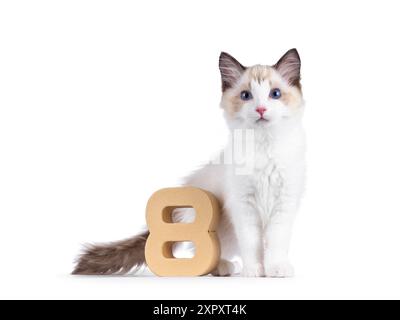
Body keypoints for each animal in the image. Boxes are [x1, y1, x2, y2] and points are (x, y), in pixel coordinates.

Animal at [73, 49, 304, 278]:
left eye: (275, 94)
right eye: (246, 96)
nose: (261, 109)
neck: (264, 145)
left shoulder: (284, 204)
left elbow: (276, 242)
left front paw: (276, 269)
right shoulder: (244, 206)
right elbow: (251, 243)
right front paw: (253, 270)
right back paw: (225, 267)